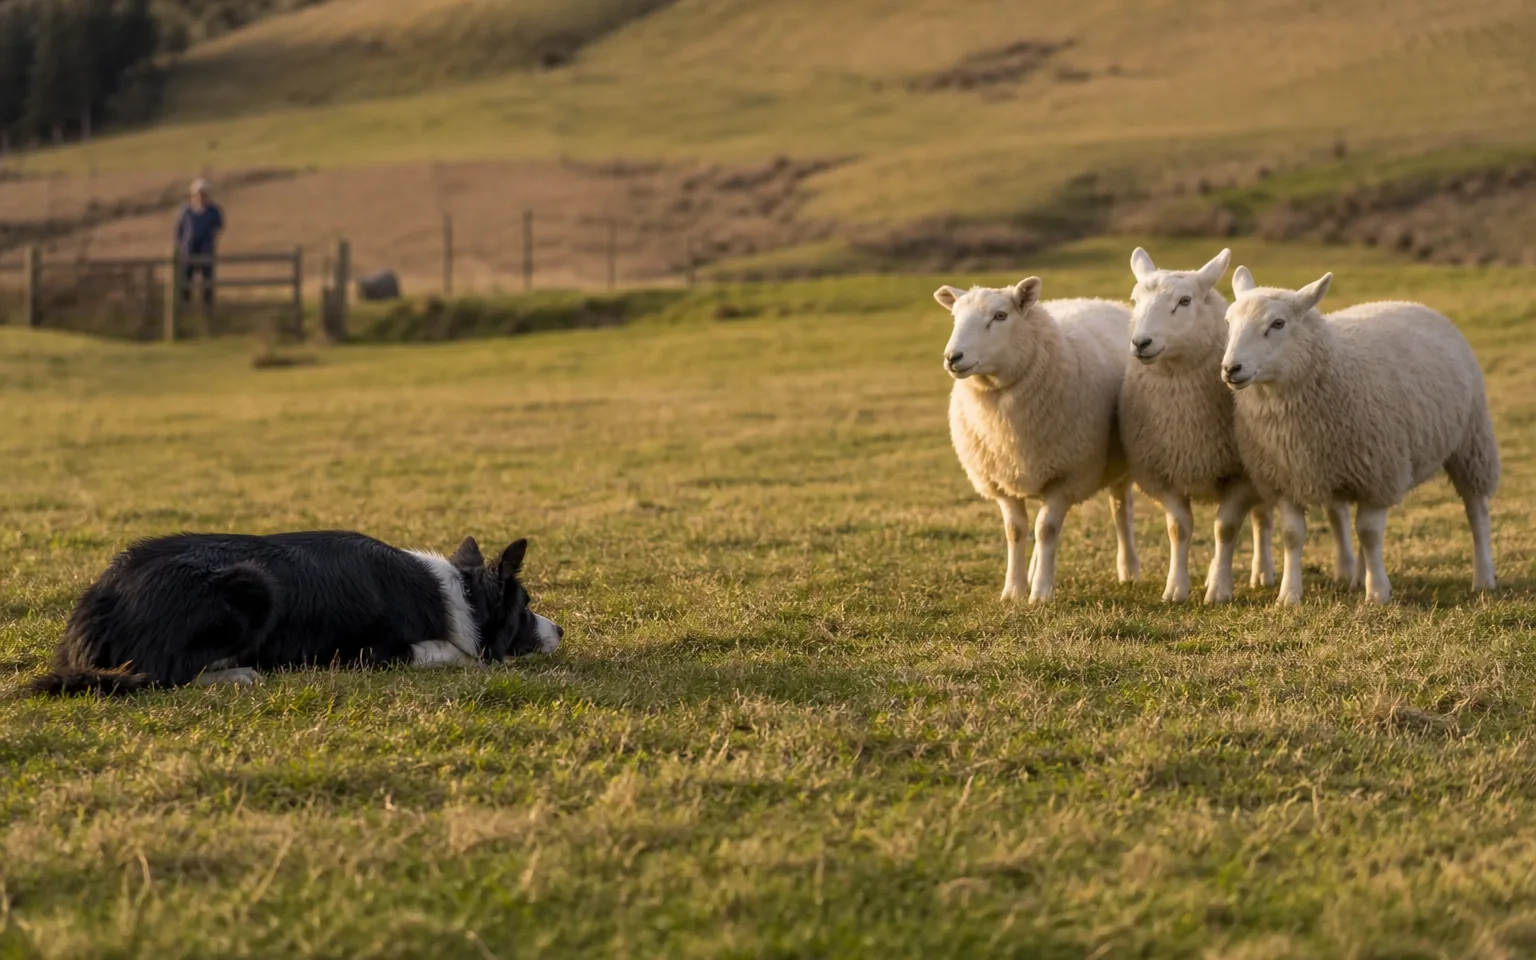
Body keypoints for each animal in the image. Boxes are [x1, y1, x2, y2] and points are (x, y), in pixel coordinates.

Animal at [937, 276, 1138, 602]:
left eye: (1000, 316)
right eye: (955, 316)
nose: (953, 358)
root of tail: (1106, 302)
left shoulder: (1066, 476)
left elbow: (1046, 530)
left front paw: (1042, 592)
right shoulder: (1001, 480)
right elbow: (1016, 531)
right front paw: (1014, 590)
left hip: (1121, 464)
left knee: (1121, 512)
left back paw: (1129, 570)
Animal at [1118, 246, 1277, 604]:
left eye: (1185, 301)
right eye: (1134, 300)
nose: (1141, 343)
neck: (1185, 421)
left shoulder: (1241, 476)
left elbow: (1226, 529)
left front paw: (1219, 590)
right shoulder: (1164, 474)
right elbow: (1179, 529)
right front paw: (1176, 589)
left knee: (1261, 519)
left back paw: (1262, 573)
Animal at [1221, 266, 1500, 604]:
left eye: (1278, 323)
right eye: (1228, 322)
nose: (1231, 368)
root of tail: (1409, 302)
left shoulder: (1379, 474)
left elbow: (1369, 533)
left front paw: (1377, 592)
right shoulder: (1287, 477)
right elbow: (1292, 536)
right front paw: (1290, 594)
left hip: (1471, 441)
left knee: (1477, 510)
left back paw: (1483, 577)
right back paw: (1355, 576)